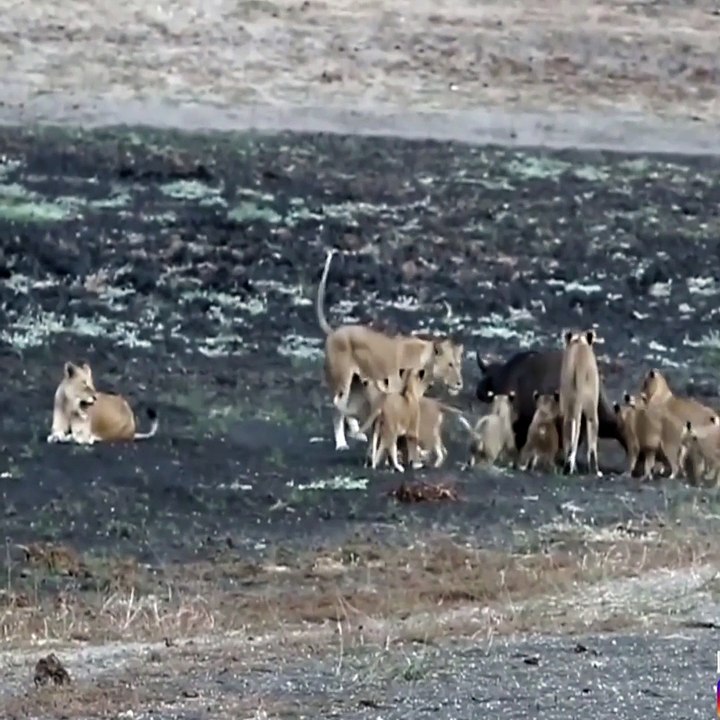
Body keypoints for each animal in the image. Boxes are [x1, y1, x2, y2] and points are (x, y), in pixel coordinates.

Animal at [316, 248, 464, 451]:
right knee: (337, 409)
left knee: (346, 407)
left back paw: (357, 433)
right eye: (450, 365)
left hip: (356, 383)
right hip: (342, 381)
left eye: (459, 365)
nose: (459, 383)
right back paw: (342, 444)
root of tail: (335, 331)